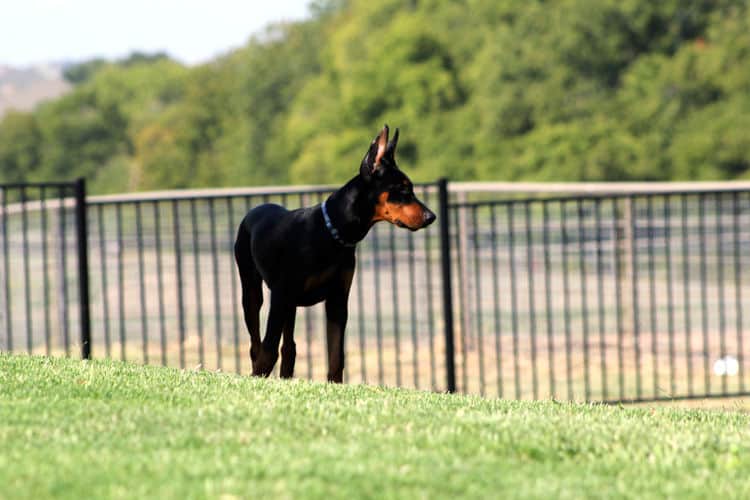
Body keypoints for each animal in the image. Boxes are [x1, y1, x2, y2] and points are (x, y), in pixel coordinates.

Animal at [234, 126, 434, 382]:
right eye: (402, 189)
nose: (431, 217)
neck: (331, 233)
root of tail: (253, 211)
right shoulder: (280, 297)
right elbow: (267, 349)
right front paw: (258, 377)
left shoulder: (338, 300)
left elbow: (336, 356)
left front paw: (334, 385)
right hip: (253, 292)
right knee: (256, 344)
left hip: (289, 304)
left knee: (289, 346)